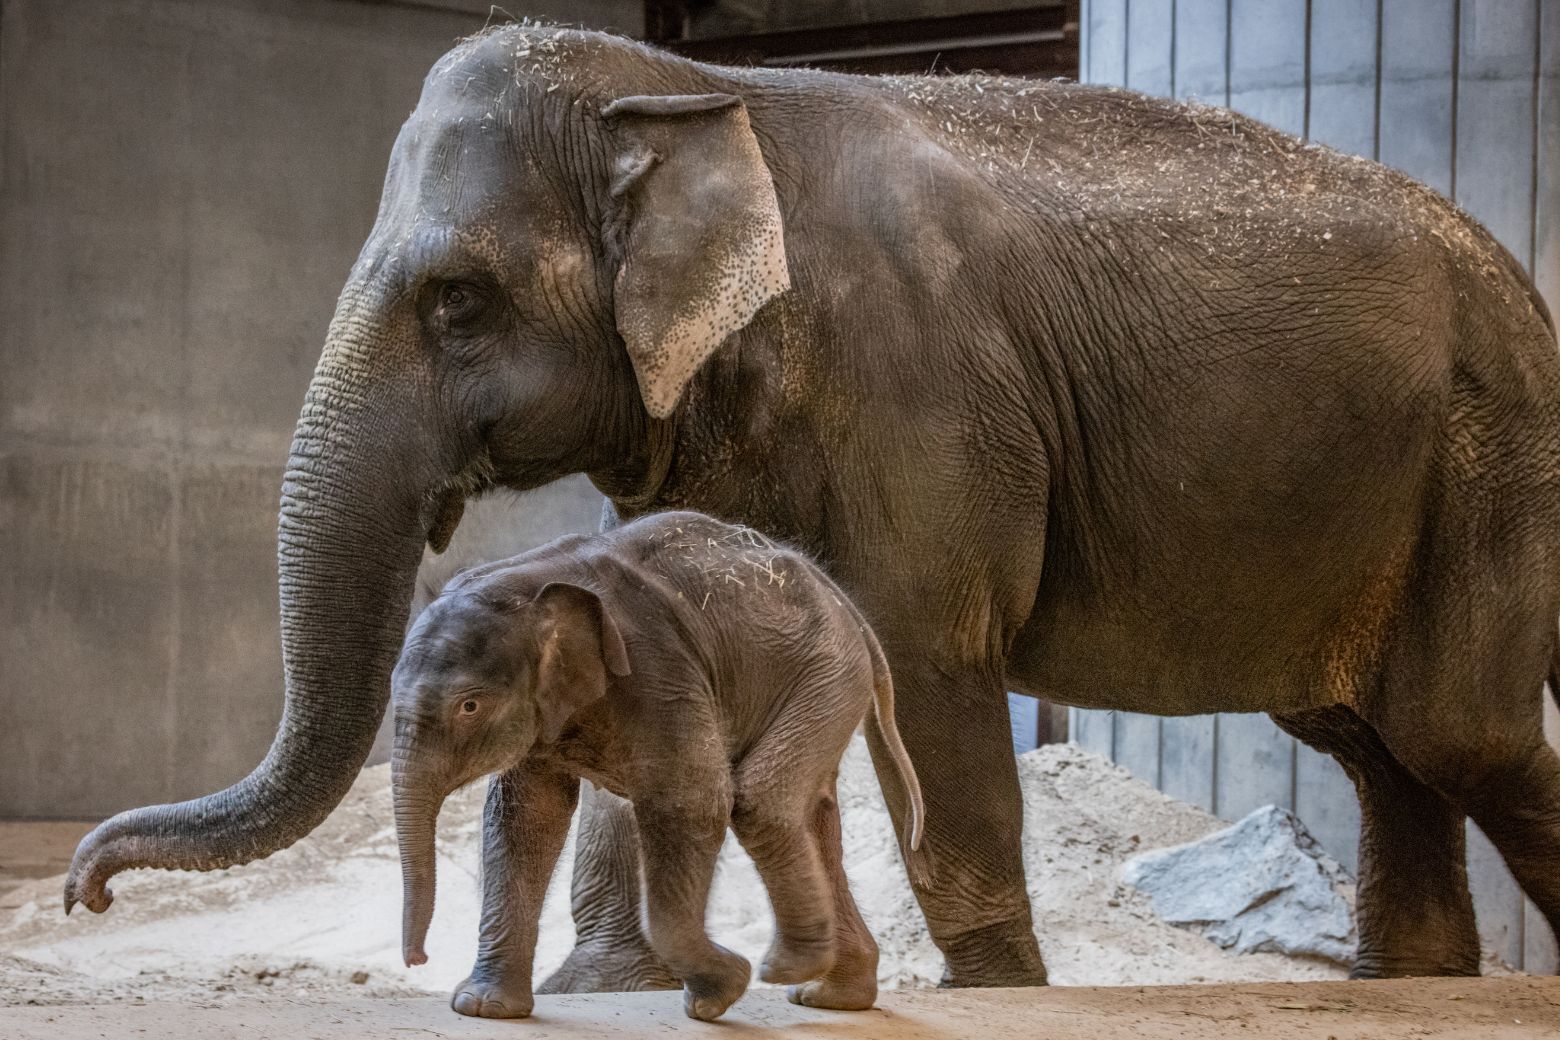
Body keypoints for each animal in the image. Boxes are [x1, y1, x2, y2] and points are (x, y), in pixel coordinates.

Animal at [390, 510, 925, 1020]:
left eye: (469, 706)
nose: (417, 960)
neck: (530, 578)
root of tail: (845, 603)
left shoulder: (658, 669)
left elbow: (690, 801)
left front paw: (721, 991)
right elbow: (525, 819)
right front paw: (483, 1009)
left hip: (827, 672)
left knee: (762, 803)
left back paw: (787, 970)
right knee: (813, 818)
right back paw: (829, 995)